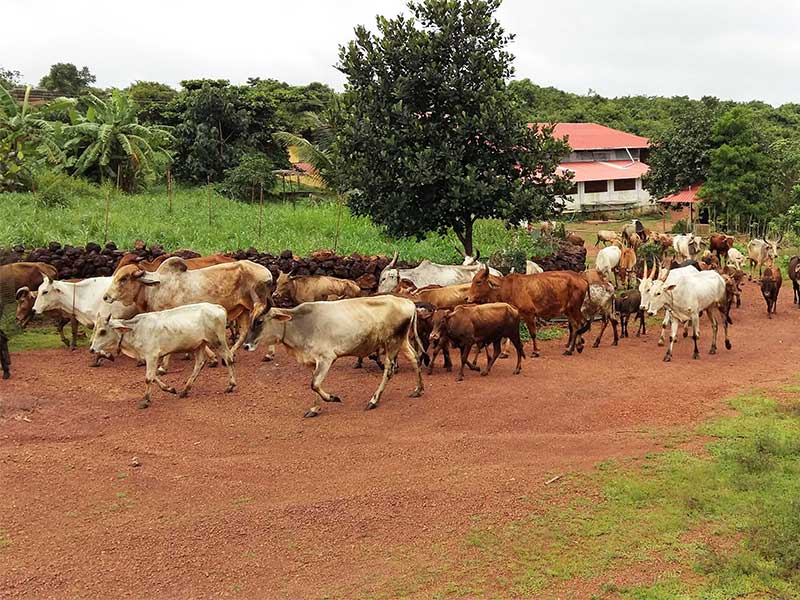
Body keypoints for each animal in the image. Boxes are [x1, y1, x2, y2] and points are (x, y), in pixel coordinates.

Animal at [90, 302, 236, 410]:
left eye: (103, 331)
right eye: (95, 329)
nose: (92, 349)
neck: (135, 330)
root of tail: (218, 307)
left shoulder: (152, 356)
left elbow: (148, 378)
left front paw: (145, 400)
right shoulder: (149, 358)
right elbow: (154, 376)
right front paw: (169, 389)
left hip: (218, 341)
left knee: (228, 358)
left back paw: (231, 385)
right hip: (199, 344)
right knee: (199, 364)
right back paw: (185, 390)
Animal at [242, 296, 424, 418]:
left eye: (259, 321)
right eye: (250, 319)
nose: (246, 345)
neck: (299, 324)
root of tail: (407, 302)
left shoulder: (326, 358)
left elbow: (314, 383)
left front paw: (333, 398)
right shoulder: (312, 362)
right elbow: (314, 383)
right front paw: (314, 409)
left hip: (392, 342)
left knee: (389, 370)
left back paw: (374, 400)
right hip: (402, 341)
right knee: (415, 358)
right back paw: (418, 389)